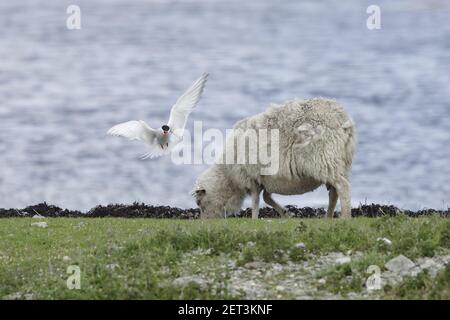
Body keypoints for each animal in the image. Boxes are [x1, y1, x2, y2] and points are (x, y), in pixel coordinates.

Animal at [193, 97, 356, 218]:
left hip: (324, 158)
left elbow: (256, 201)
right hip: (340, 162)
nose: (205, 223)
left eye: (200, 204)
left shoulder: (252, 177)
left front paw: (254, 219)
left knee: (343, 187)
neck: (228, 175)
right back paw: (328, 217)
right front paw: (285, 213)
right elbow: (267, 197)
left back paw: (345, 217)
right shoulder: (267, 179)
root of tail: (343, 118)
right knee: (334, 192)